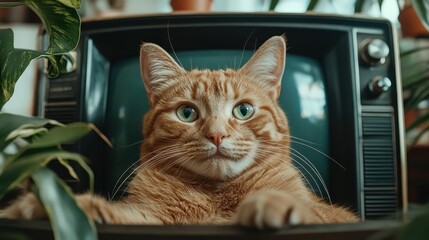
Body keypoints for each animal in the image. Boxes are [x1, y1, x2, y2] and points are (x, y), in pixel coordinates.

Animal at [1, 36, 356, 229]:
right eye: (187, 113)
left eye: (243, 110)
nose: (217, 135)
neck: (216, 197)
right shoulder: (152, 218)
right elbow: (121, 215)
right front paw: (54, 206)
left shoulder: (335, 216)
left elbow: (317, 213)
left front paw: (276, 205)